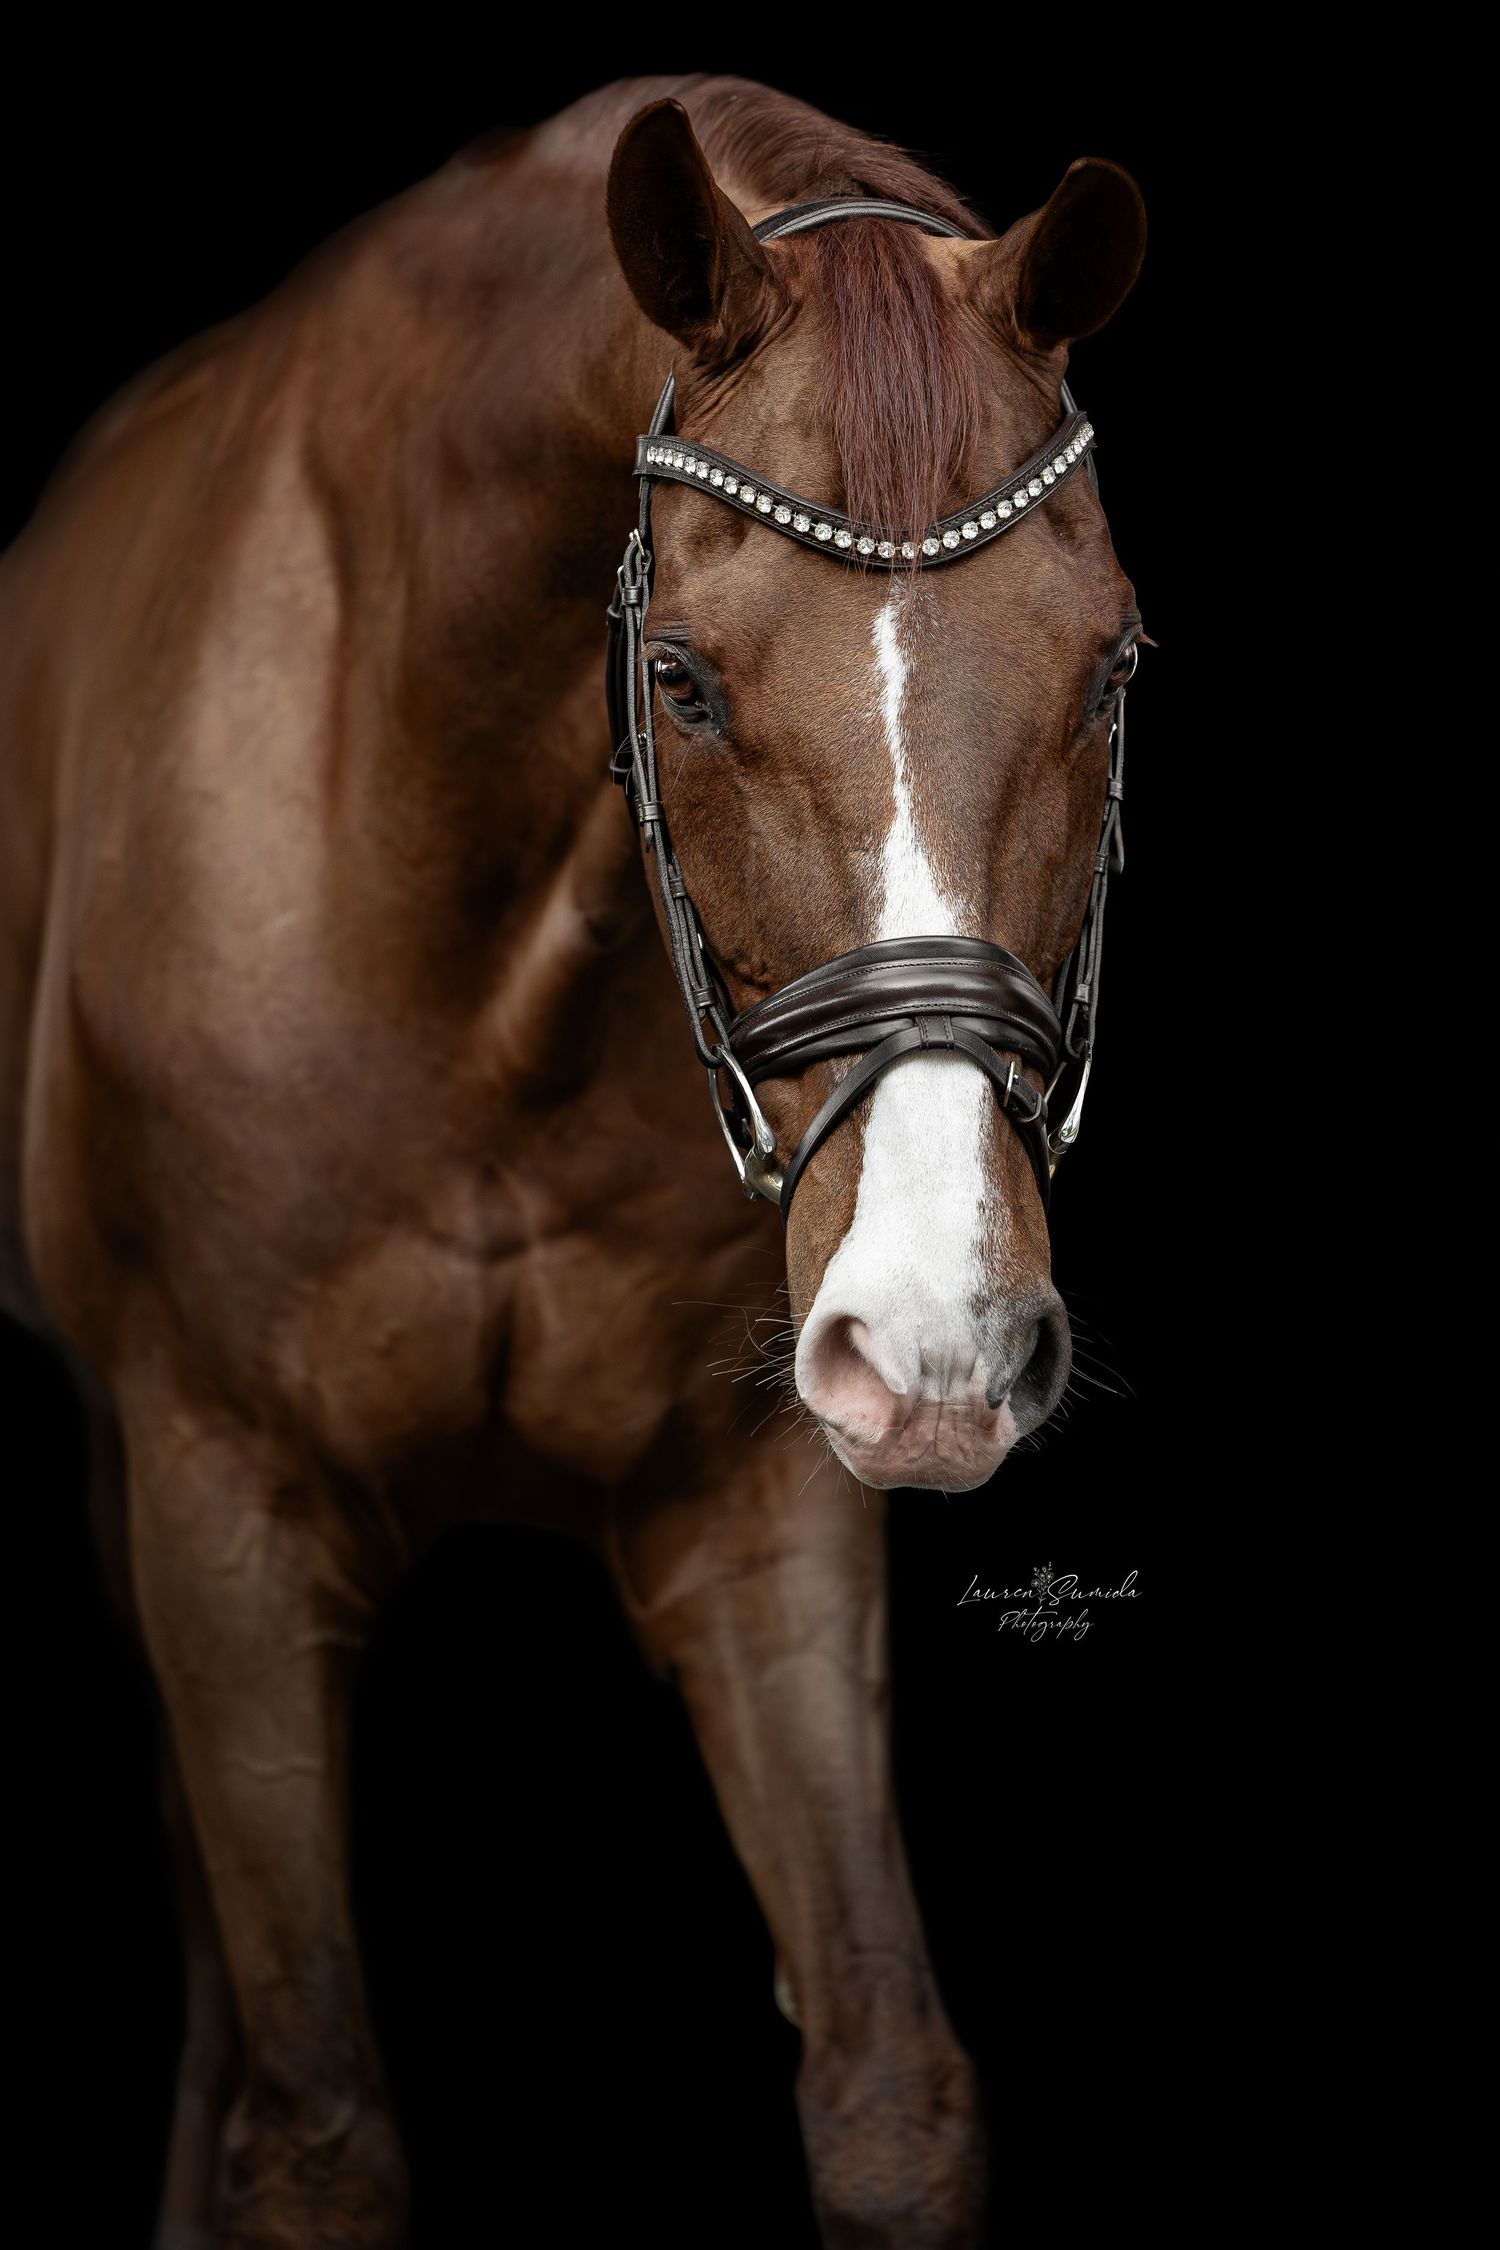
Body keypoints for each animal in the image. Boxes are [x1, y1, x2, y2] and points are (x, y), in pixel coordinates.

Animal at [0, 74, 1144, 2250]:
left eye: (1113, 667)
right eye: (680, 677)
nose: (944, 1338)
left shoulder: (756, 1510)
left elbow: (890, 2091)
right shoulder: (227, 1509)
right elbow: (315, 2139)